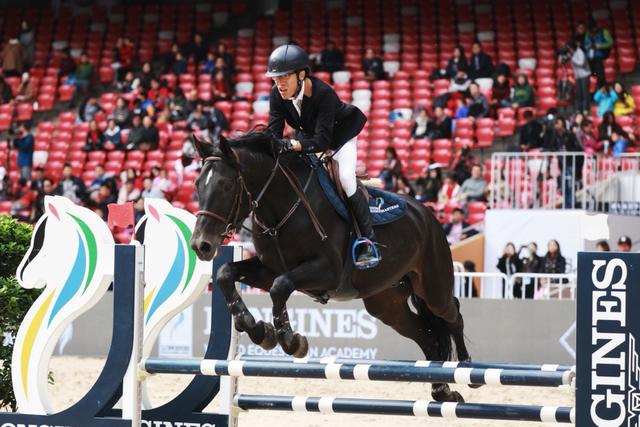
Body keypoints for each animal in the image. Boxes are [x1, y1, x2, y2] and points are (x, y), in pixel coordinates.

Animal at [190, 132, 470, 402]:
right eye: (197, 185)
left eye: (226, 185)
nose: (201, 245)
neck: (282, 209)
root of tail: (427, 213)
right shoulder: (268, 270)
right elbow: (226, 274)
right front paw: (258, 329)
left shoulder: (327, 272)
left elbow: (280, 288)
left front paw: (290, 340)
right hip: (386, 303)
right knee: (427, 337)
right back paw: (441, 390)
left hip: (433, 288)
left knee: (453, 313)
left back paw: (467, 368)